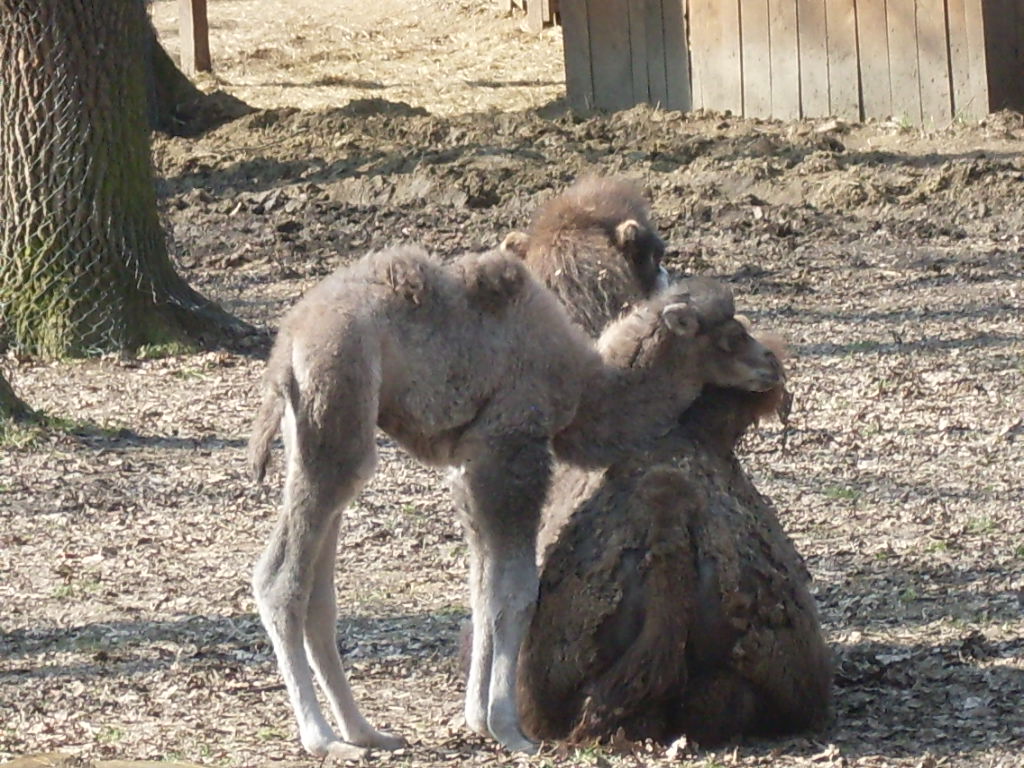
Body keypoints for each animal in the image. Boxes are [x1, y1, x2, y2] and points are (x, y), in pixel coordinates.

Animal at [247, 243, 784, 758]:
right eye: (730, 337)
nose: (771, 365)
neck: (585, 388)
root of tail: (286, 347)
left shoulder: (469, 465)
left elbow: (484, 588)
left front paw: (476, 718)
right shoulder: (511, 446)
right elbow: (518, 589)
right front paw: (509, 728)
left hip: (316, 434)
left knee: (320, 590)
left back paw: (367, 733)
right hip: (336, 404)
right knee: (280, 578)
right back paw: (323, 739)